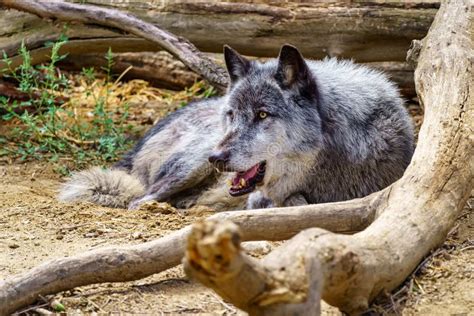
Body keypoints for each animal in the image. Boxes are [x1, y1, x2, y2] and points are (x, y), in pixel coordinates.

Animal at [60, 44, 414, 211]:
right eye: (232, 114)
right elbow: (288, 202)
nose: (216, 159)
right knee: (140, 200)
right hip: (191, 163)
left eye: (262, 115)